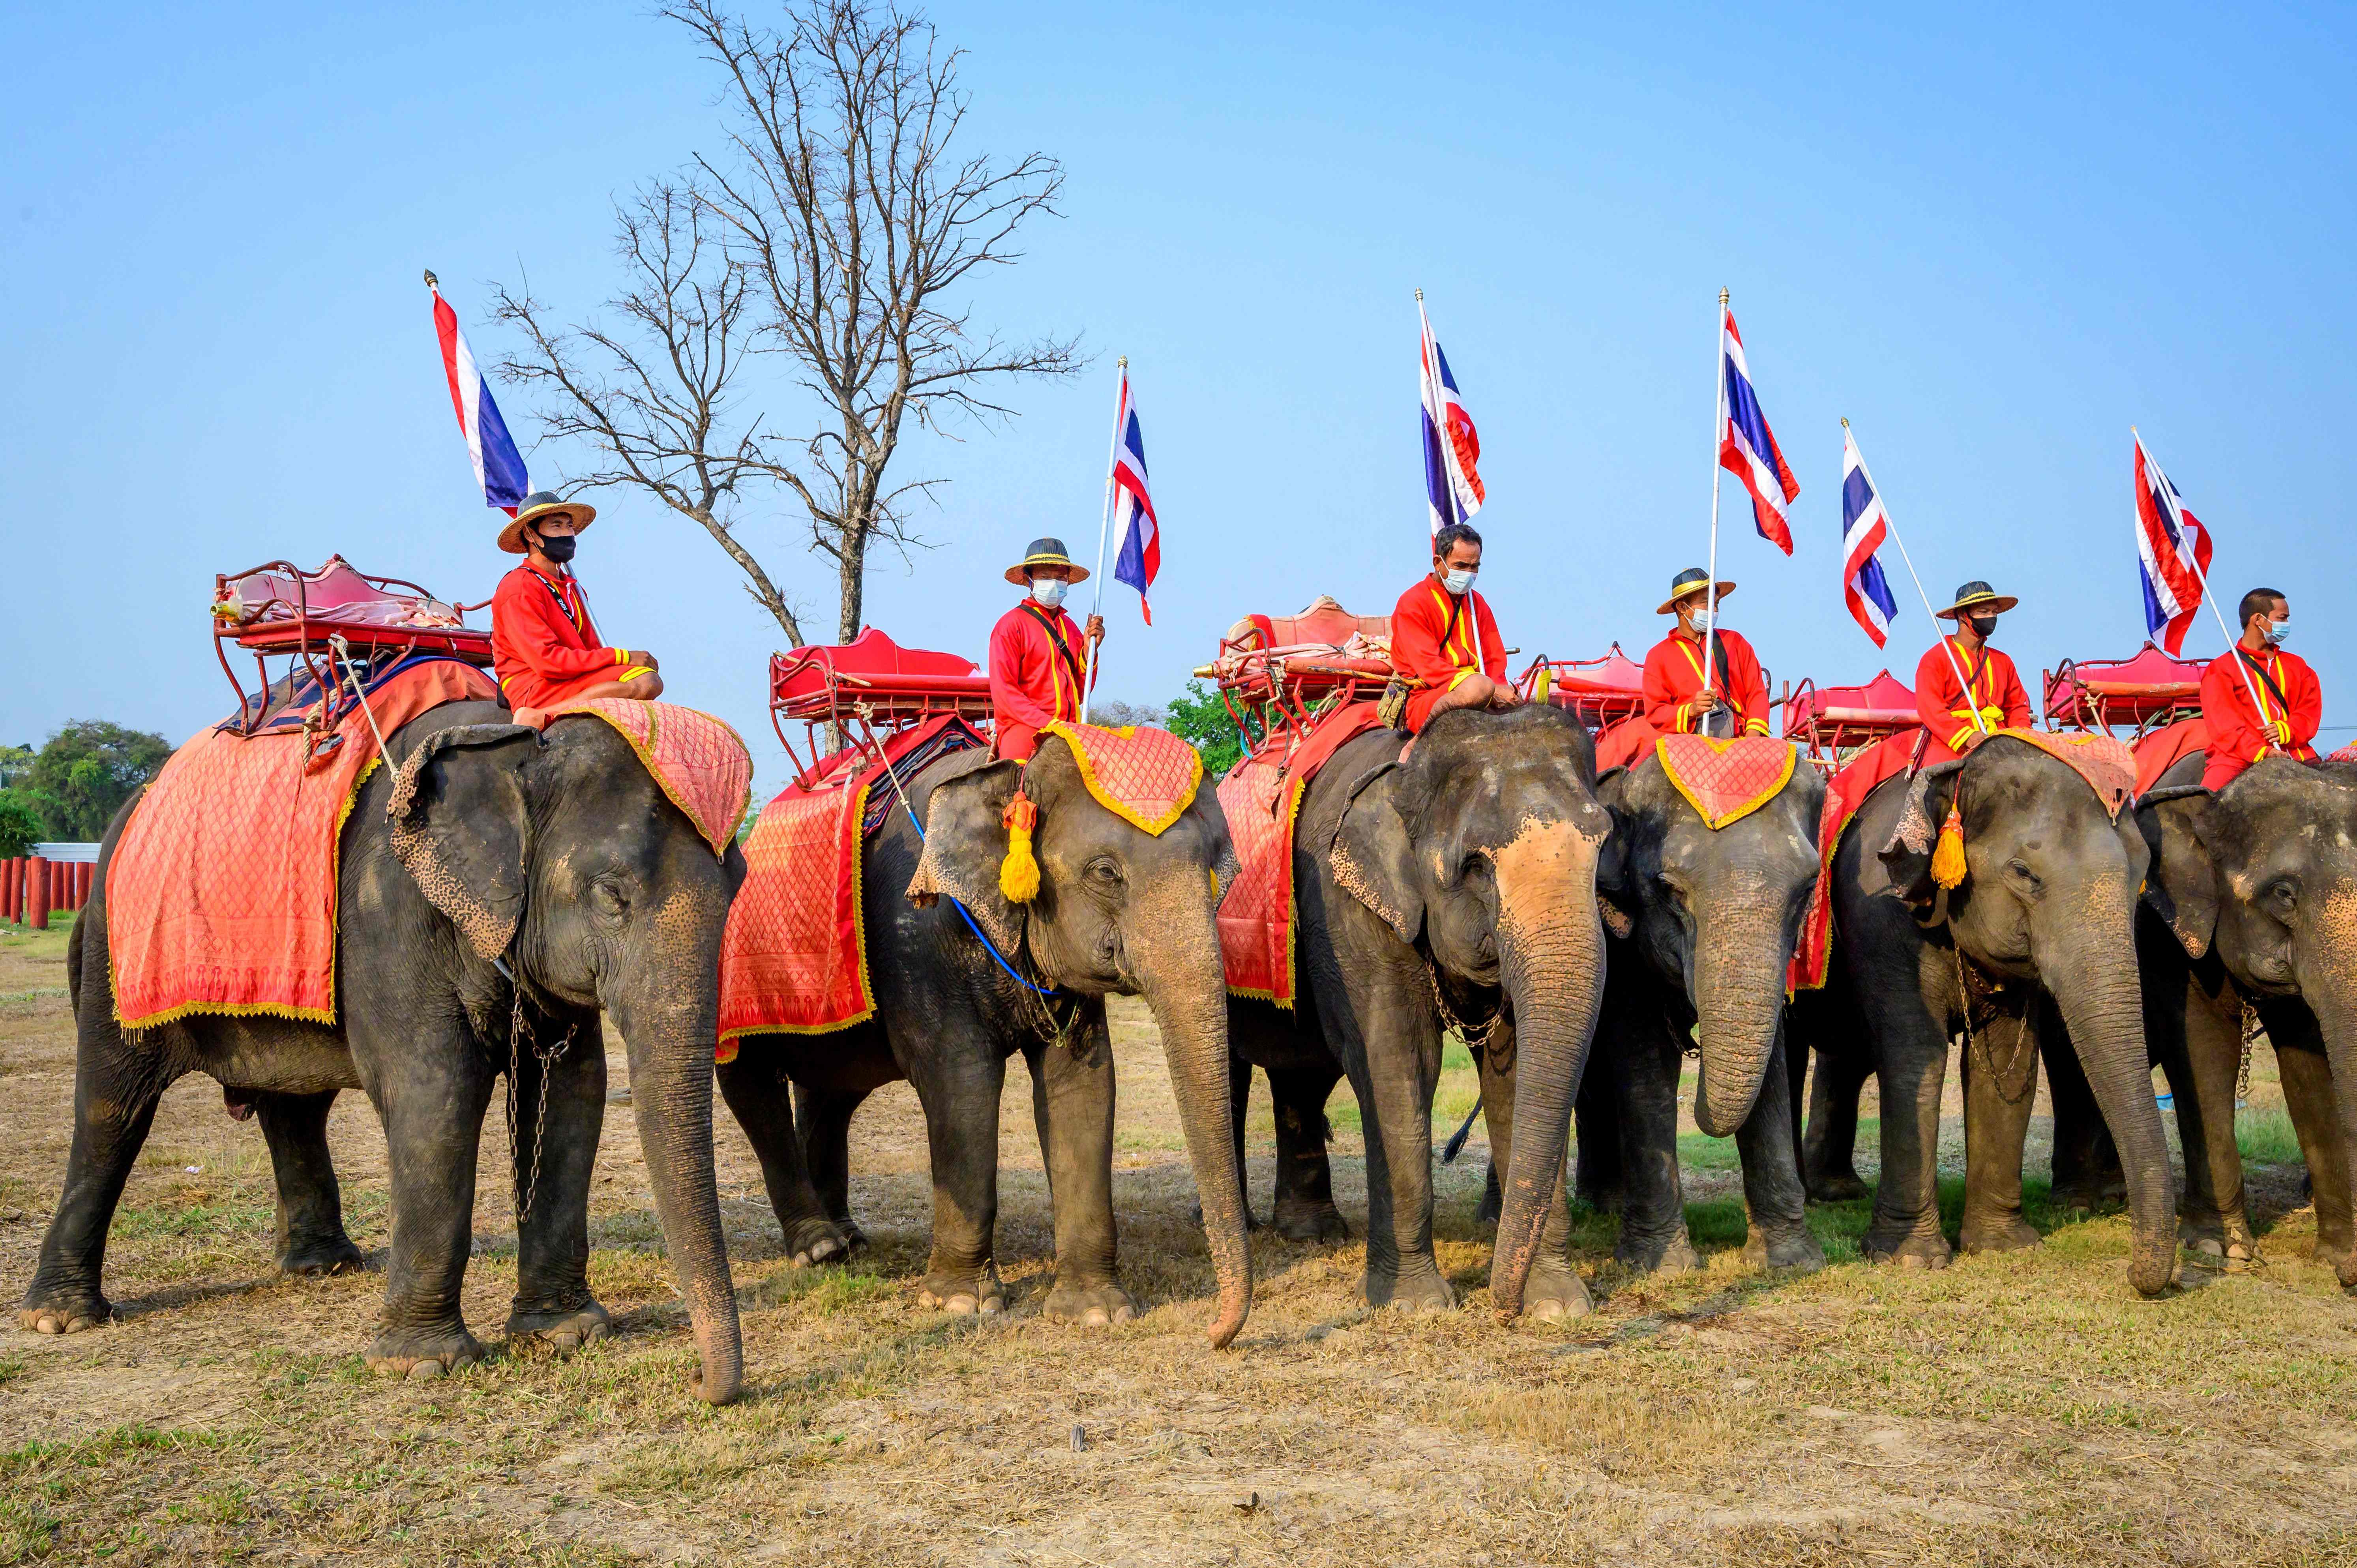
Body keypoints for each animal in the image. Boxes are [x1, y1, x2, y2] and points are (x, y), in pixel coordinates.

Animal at [16, 703, 745, 1396]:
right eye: (610, 894)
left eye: (735, 891)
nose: (699, 1381)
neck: (512, 743)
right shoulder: (388, 917)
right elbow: (435, 1095)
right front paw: (422, 1365)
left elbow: (572, 1095)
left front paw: (566, 1333)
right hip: (116, 950)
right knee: (111, 1107)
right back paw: (59, 1316)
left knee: (295, 1106)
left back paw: (321, 1265)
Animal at [712, 726, 1254, 1339]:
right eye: (1104, 873)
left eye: (1214, 870)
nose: (1214, 1333)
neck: (1008, 773)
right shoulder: (921, 940)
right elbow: (963, 1082)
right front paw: (960, 1304)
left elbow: (1081, 1087)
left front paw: (1094, 1311)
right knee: (752, 1087)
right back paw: (818, 1248)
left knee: (832, 1094)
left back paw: (847, 1240)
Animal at [1216, 703, 1621, 1311]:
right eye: (1475, 866)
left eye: (1600, 849)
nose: (1498, 1305)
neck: (1404, 772)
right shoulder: (1346, 908)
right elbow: (1400, 1063)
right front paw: (1416, 1303)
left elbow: (1514, 1076)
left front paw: (1557, 1304)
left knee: (1301, 1076)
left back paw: (1312, 1233)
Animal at [1574, 745, 1829, 1273]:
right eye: (1670, 890)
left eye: (1806, 888)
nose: (1694, 1048)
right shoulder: (1623, 951)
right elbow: (1644, 1063)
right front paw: (1662, 1267)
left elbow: (1770, 1067)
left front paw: (1791, 1261)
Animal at [1801, 736, 2168, 1292]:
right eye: (2023, 873)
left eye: (2140, 877)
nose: (2133, 1275)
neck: (1956, 774)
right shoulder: (1879, 917)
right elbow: (1916, 1058)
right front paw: (1909, 1260)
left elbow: (2007, 1065)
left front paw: (2003, 1247)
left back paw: (1837, 1192)